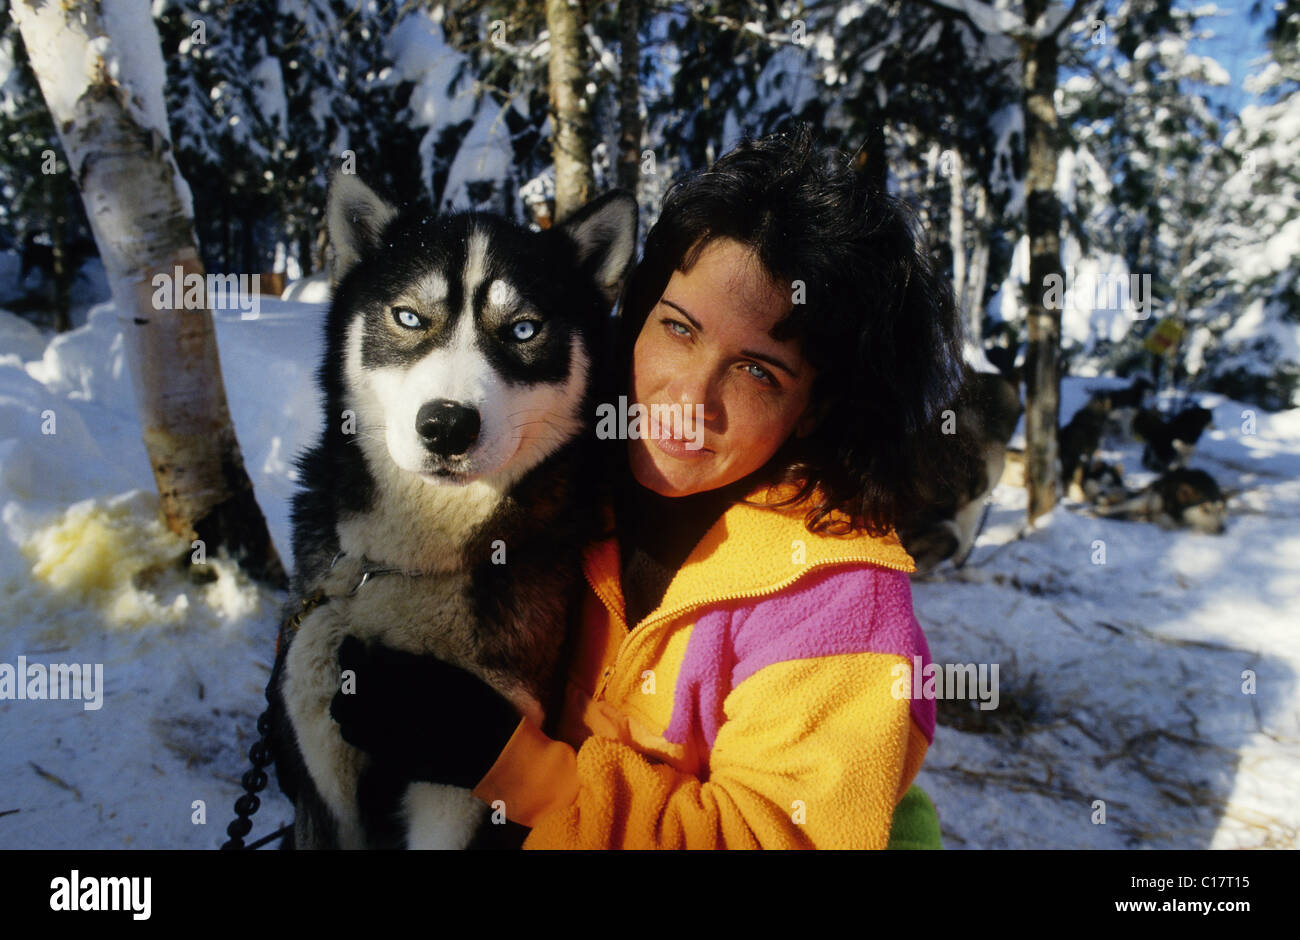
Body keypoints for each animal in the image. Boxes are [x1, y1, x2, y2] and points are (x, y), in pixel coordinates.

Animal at [271, 172, 637, 847]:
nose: (446, 425)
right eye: (409, 317)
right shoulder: (322, 783)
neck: (415, 566)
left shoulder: (459, 783)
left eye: (522, 330)